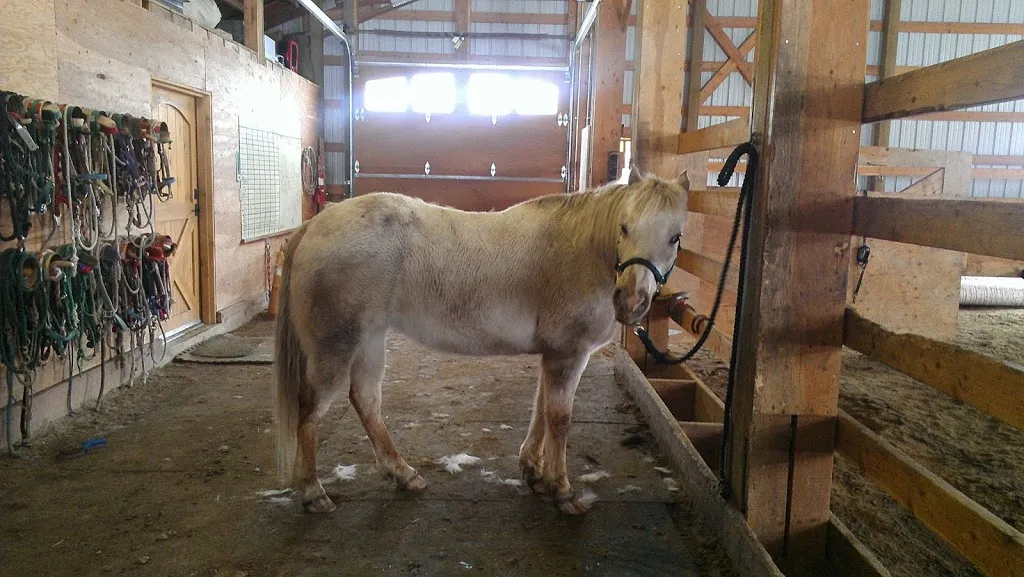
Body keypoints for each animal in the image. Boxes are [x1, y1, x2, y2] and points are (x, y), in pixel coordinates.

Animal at [274, 169, 690, 515]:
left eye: (675, 237)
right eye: (624, 227)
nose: (630, 302)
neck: (583, 250)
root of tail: (314, 225)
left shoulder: (553, 354)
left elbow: (540, 409)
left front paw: (533, 471)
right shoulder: (569, 354)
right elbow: (559, 418)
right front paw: (562, 491)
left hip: (370, 341)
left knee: (366, 401)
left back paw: (403, 474)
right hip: (336, 347)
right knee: (311, 411)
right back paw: (313, 492)